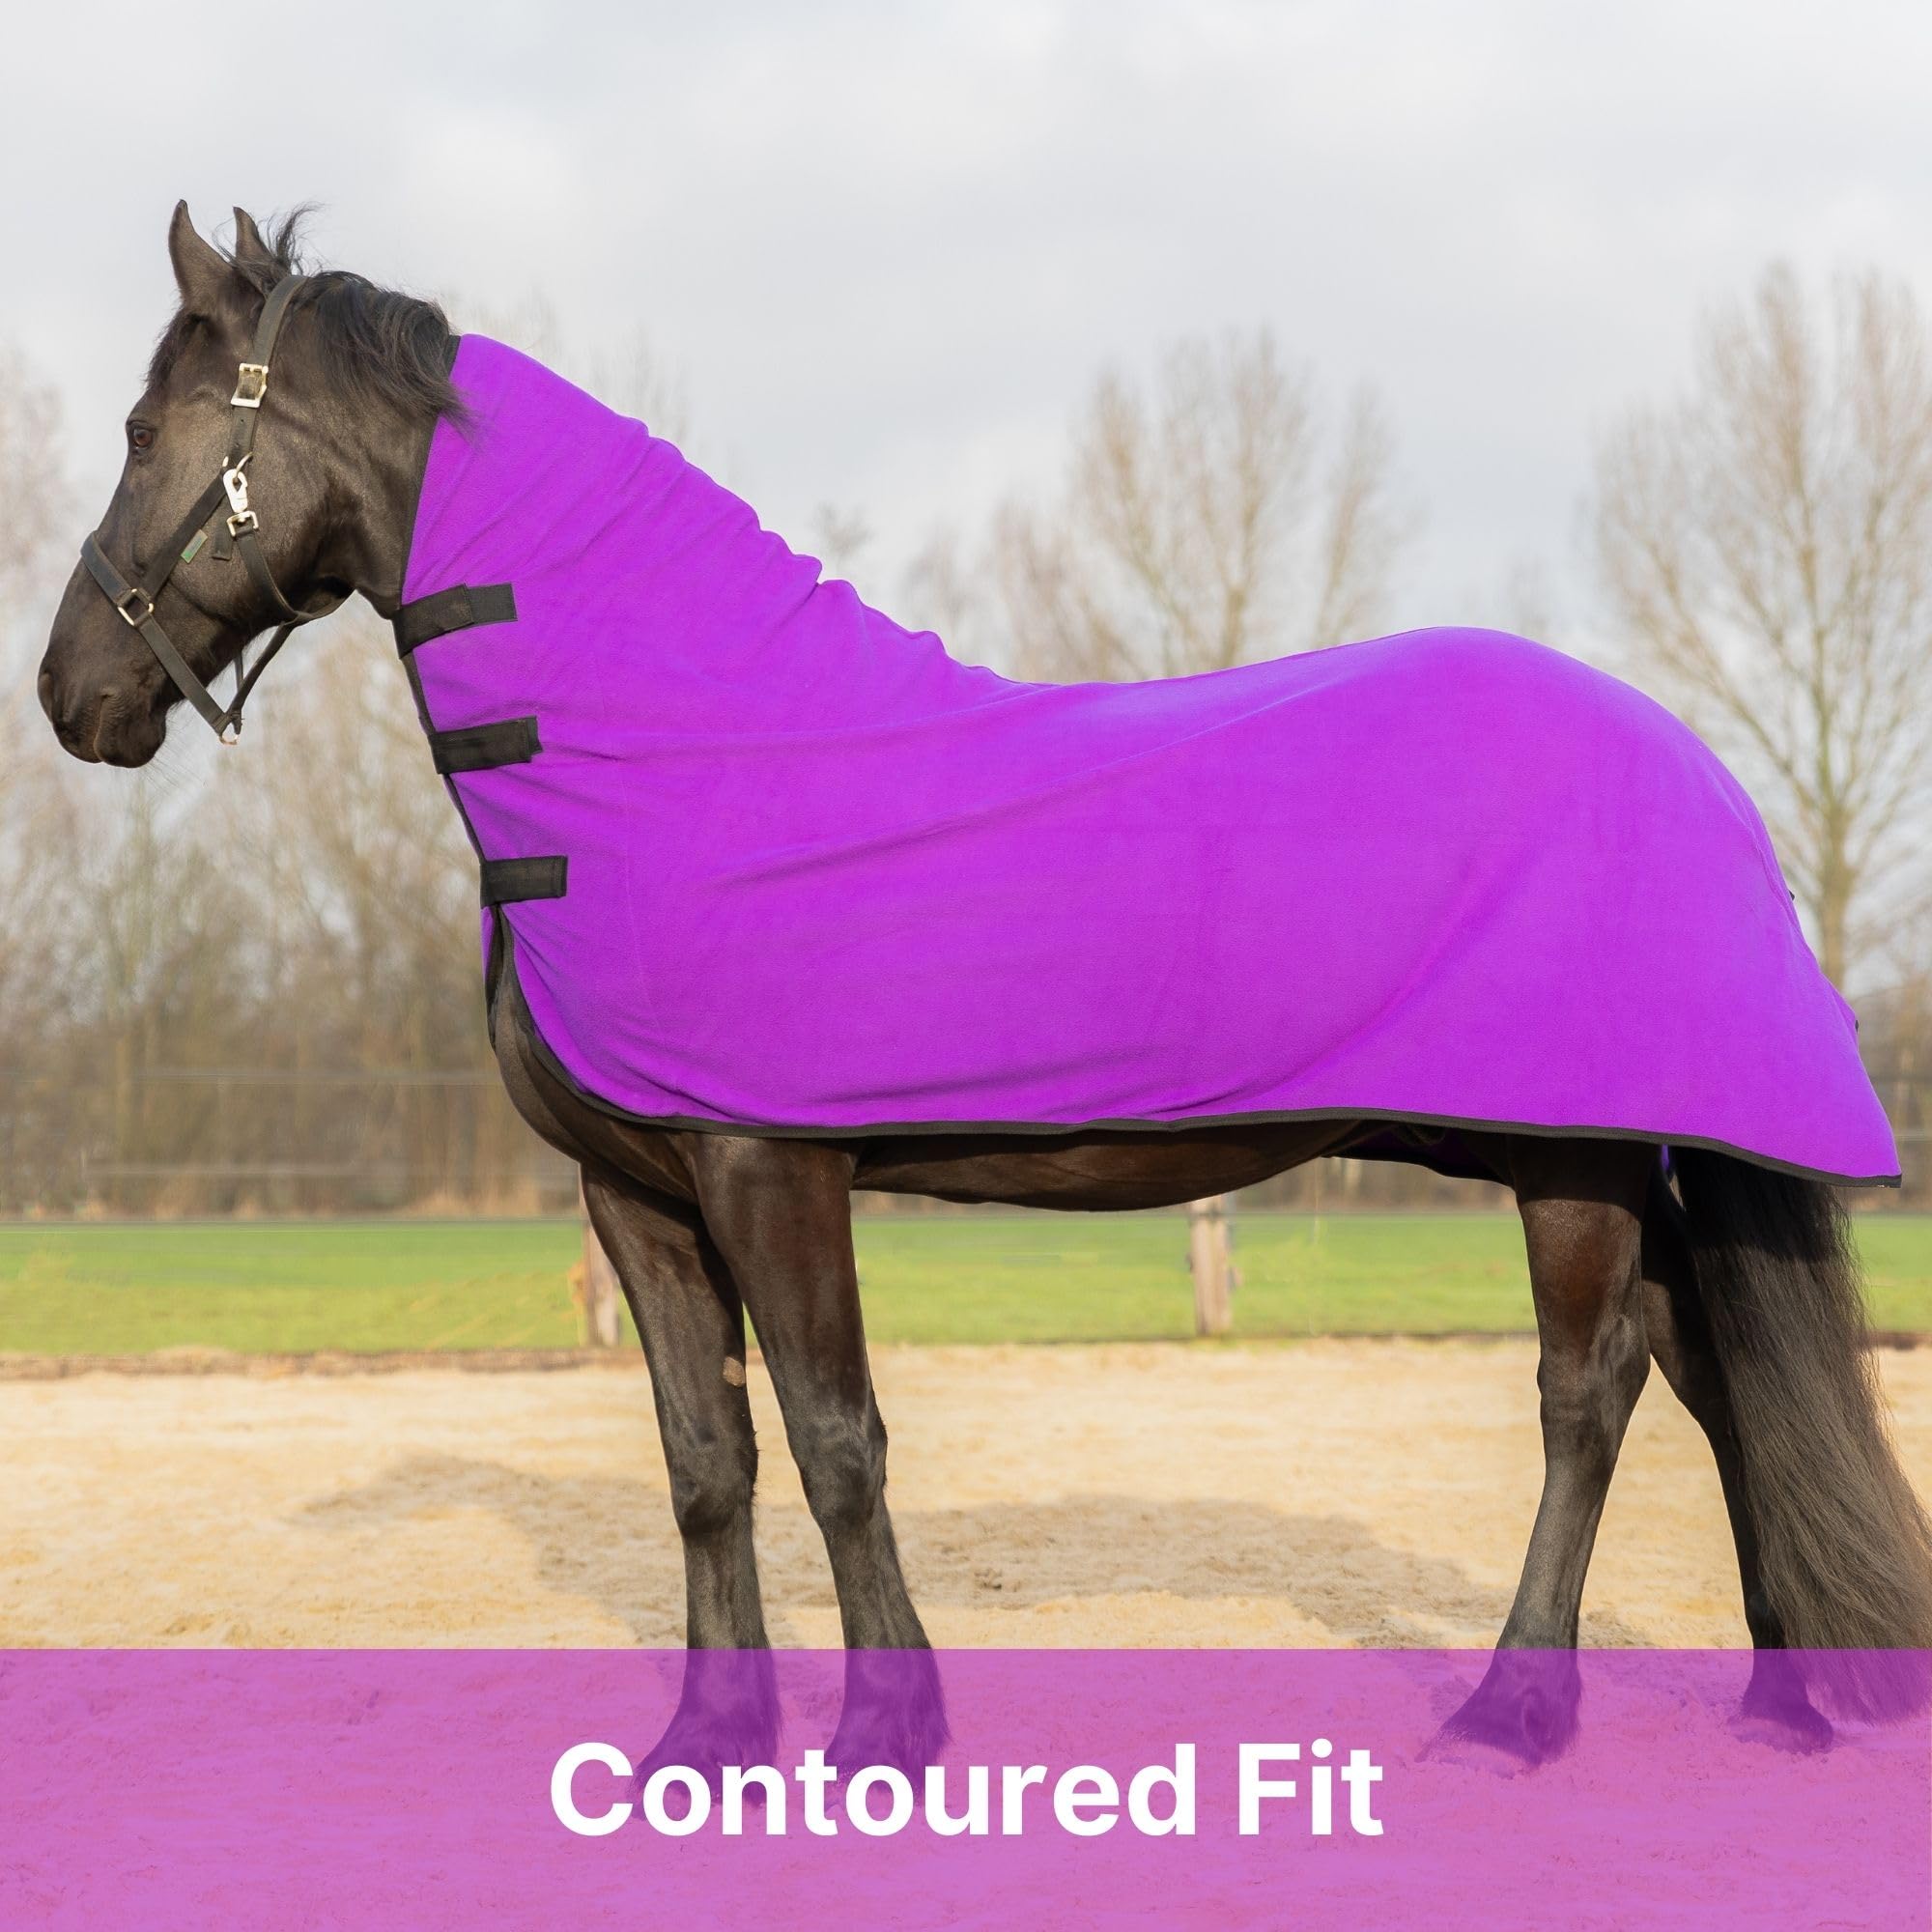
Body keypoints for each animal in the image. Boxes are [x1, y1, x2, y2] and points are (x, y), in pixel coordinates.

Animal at [37, 203, 1932, 1774]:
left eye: (143, 434)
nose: (70, 694)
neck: (667, 749)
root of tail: (1698, 769)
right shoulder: (634, 1194)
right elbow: (704, 1462)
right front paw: (706, 1745)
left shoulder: (770, 1168)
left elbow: (835, 1441)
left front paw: (888, 1732)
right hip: (1600, 1154)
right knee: (1707, 1369)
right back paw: (1781, 1703)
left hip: (1571, 1168)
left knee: (1588, 1398)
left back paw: (1513, 1713)